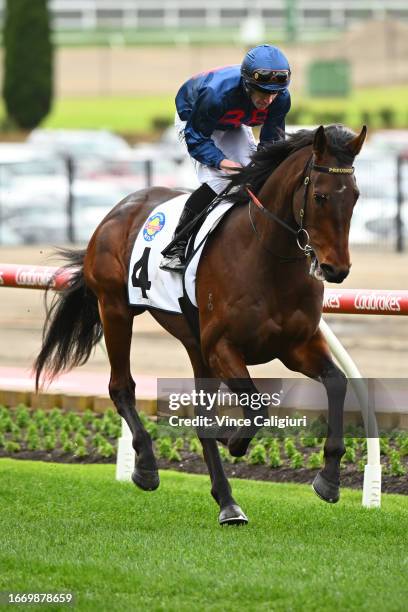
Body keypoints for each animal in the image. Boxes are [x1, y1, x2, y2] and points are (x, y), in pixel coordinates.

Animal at [34, 124, 366, 524]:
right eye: (319, 196)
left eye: (355, 196)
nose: (336, 268)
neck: (267, 258)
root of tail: (118, 210)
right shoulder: (223, 346)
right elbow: (256, 409)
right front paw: (232, 439)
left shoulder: (295, 346)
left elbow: (337, 382)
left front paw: (329, 478)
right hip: (115, 309)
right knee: (121, 387)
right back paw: (147, 467)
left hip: (194, 344)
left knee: (200, 412)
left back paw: (228, 502)